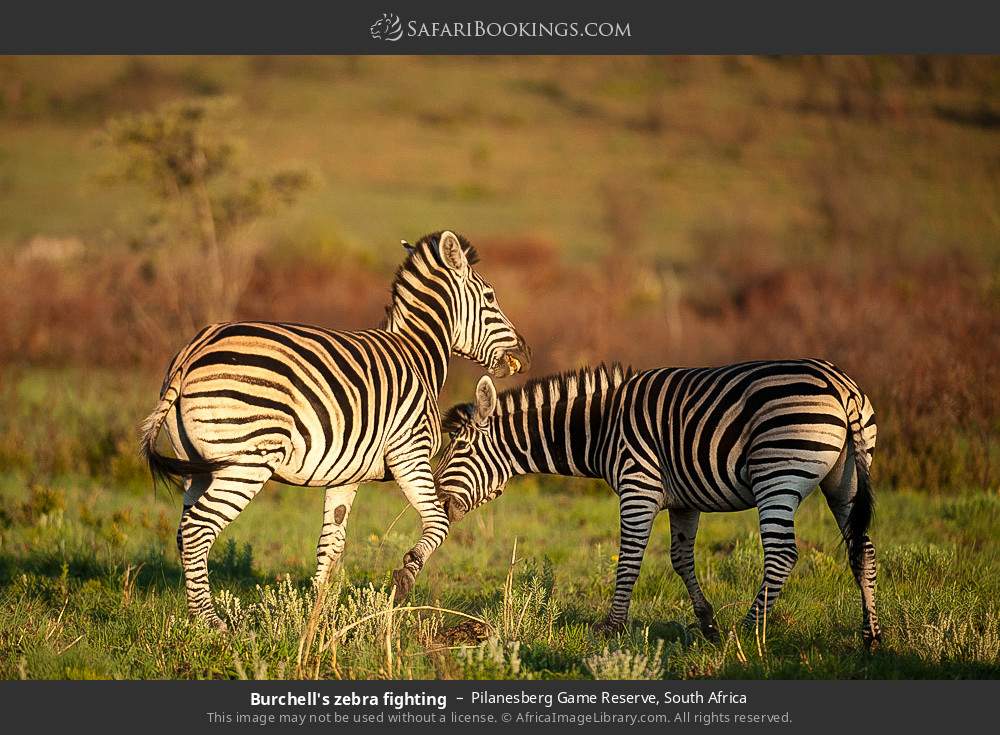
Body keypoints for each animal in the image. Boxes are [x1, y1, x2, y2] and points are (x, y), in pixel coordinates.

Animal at [140, 231, 530, 630]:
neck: (418, 355)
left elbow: (331, 544)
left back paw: (196, 618)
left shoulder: (347, 475)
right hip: (247, 462)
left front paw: (317, 617)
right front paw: (402, 583)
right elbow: (437, 522)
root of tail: (192, 351)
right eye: (490, 297)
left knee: (184, 533)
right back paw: (211, 622)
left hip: (198, 466)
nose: (524, 352)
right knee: (197, 530)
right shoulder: (409, 452)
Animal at [434, 359, 882, 649]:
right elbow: (680, 559)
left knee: (782, 555)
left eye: (460, 448)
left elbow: (629, 560)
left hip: (778, 474)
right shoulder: (686, 499)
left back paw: (746, 633)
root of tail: (842, 387)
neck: (602, 427)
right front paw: (707, 623)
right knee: (863, 549)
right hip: (843, 480)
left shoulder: (639, 486)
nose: (437, 500)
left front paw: (612, 629)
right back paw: (871, 636)